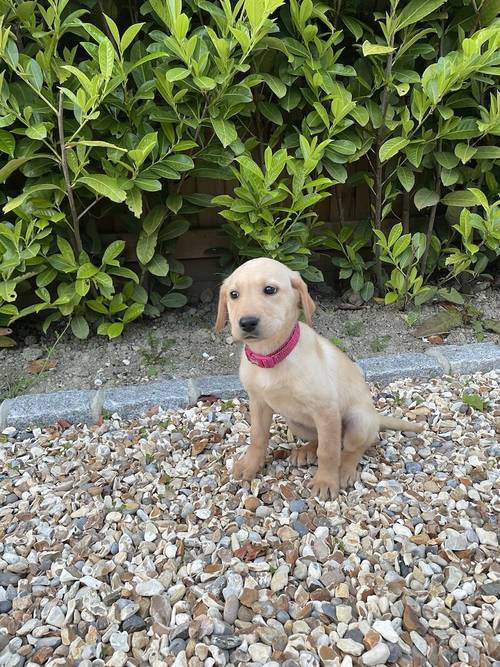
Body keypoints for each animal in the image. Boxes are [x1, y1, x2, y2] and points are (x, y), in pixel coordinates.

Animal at [215, 258, 422, 498]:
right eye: (234, 294)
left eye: (270, 290)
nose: (247, 322)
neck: (272, 357)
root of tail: (376, 417)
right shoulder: (258, 403)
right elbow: (258, 437)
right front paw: (250, 465)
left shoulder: (326, 410)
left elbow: (329, 451)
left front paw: (325, 481)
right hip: (295, 421)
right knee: (320, 438)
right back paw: (306, 450)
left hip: (359, 421)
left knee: (352, 447)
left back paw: (345, 470)